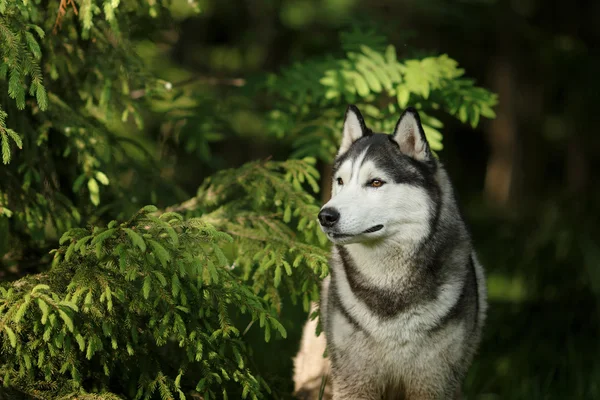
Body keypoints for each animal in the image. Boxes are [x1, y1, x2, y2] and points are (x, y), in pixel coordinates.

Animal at [294, 104, 488, 398]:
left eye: (375, 183)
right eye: (340, 181)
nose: (325, 216)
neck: (389, 289)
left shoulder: (434, 382)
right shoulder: (355, 381)